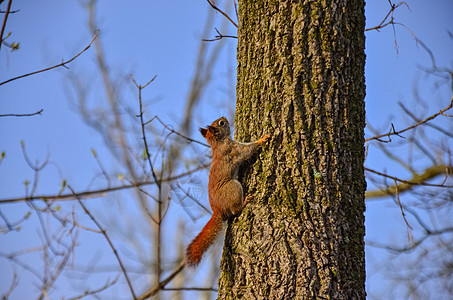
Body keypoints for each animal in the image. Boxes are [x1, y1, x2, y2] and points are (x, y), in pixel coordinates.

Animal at [184, 116, 268, 266]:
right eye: (221, 123)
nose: (224, 117)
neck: (218, 143)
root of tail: (217, 210)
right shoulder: (233, 150)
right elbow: (246, 150)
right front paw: (261, 140)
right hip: (233, 187)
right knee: (235, 210)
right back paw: (245, 201)